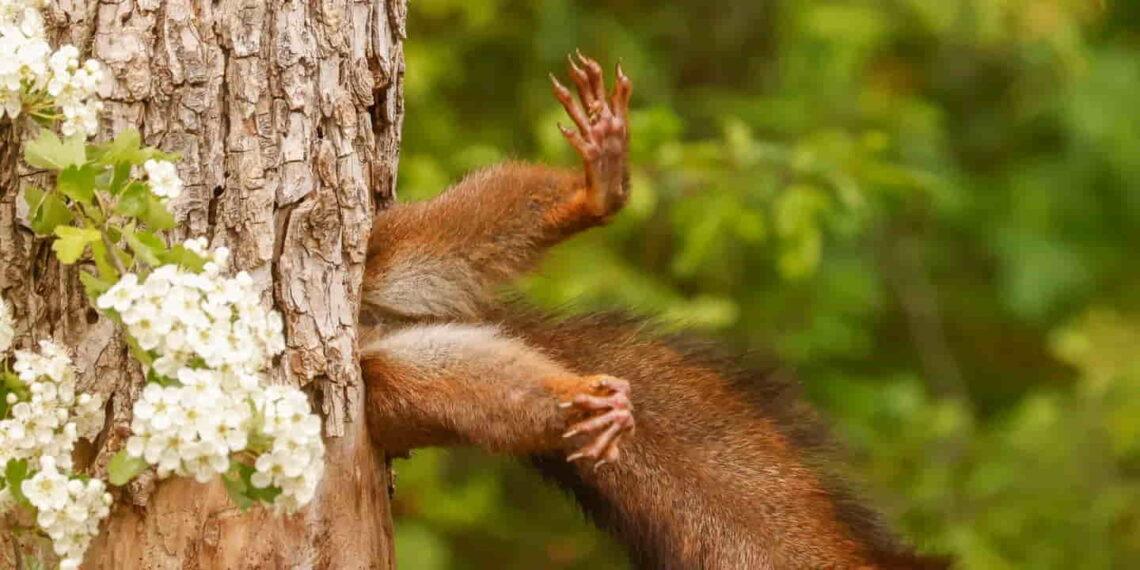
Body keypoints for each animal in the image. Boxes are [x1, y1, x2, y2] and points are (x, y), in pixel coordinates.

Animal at [358, 53, 950, 569]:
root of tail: (380, 326)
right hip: (394, 389)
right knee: (476, 393)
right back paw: (584, 406)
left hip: (392, 246)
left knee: (465, 227)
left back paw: (597, 188)